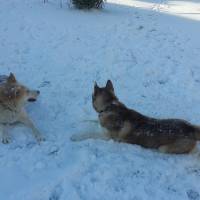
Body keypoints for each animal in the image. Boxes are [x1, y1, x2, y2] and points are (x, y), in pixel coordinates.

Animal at [72, 80, 200, 154]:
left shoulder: (107, 137)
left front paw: (76, 136)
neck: (109, 105)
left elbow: (89, 134)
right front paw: (80, 121)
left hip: (163, 148)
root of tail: (191, 129)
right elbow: (92, 120)